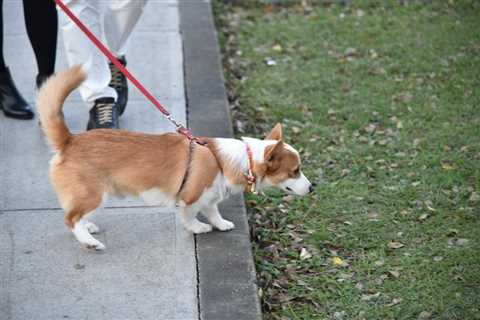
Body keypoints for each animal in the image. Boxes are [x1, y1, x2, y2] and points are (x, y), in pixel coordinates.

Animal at [38, 65, 316, 250]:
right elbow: (190, 216)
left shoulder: (210, 196)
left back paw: (88, 228)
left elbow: (213, 211)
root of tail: (69, 140)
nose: (313, 188)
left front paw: (221, 223)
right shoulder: (190, 197)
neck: (241, 160)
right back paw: (89, 241)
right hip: (94, 194)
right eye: (295, 171)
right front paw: (198, 228)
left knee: (76, 215)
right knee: (70, 218)